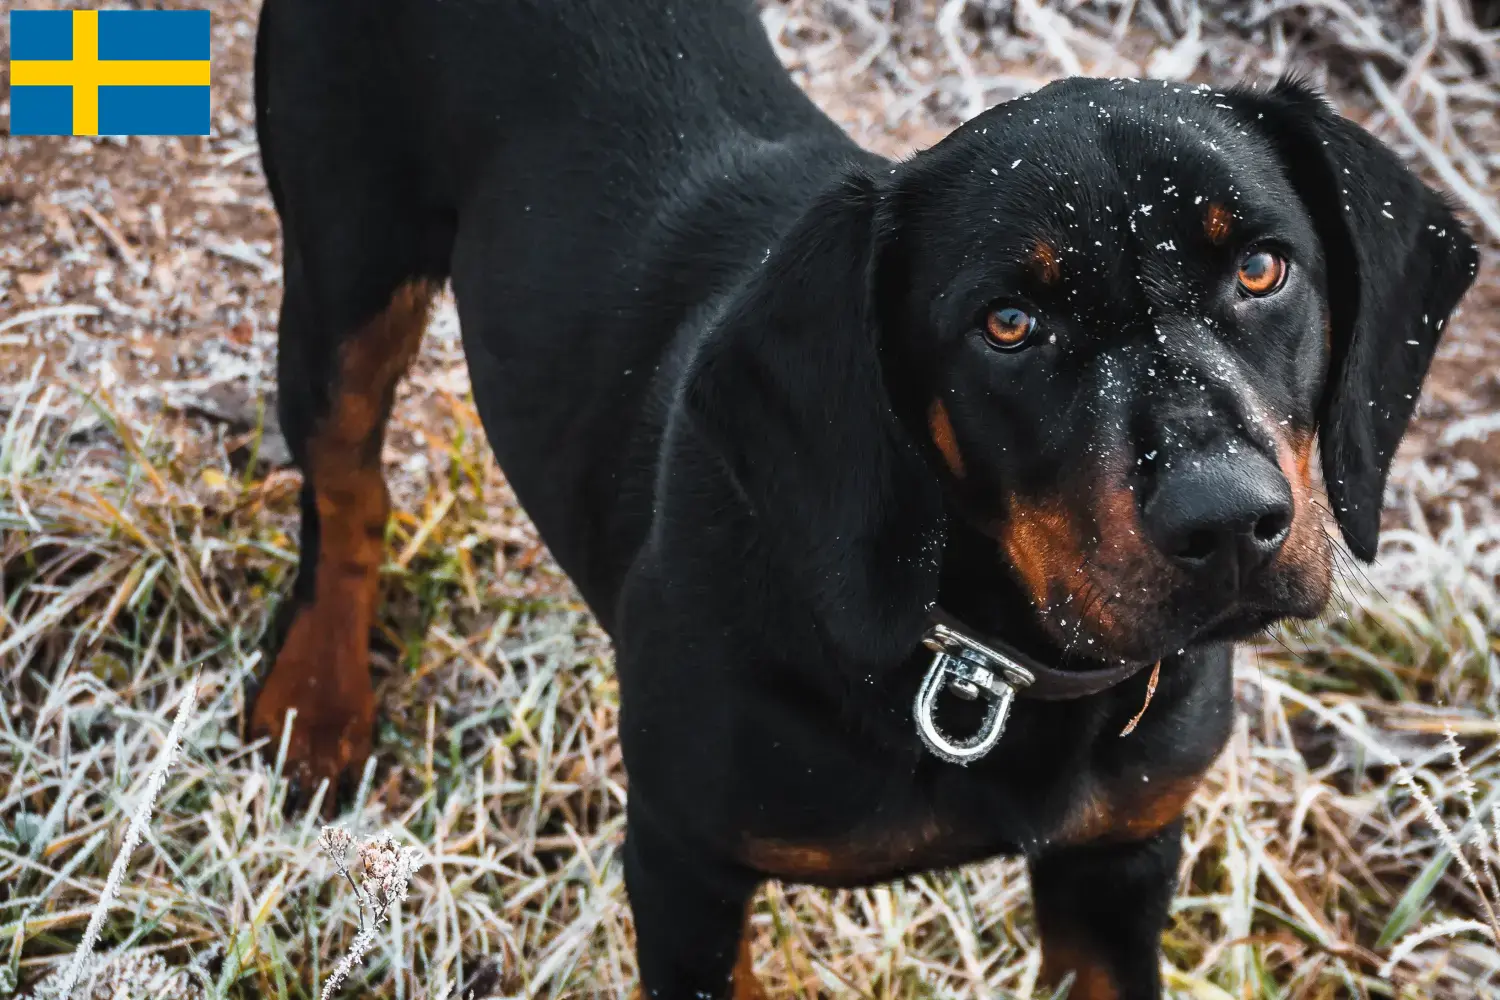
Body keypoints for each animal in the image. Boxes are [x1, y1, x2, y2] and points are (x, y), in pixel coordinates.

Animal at [249, 3, 1476, 995]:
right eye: (1008, 324)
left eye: (1263, 269)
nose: (1226, 521)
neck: (986, 660)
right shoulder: (684, 864)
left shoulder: (1120, 862)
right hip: (343, 267)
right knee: (348, 486)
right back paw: (317, 701)